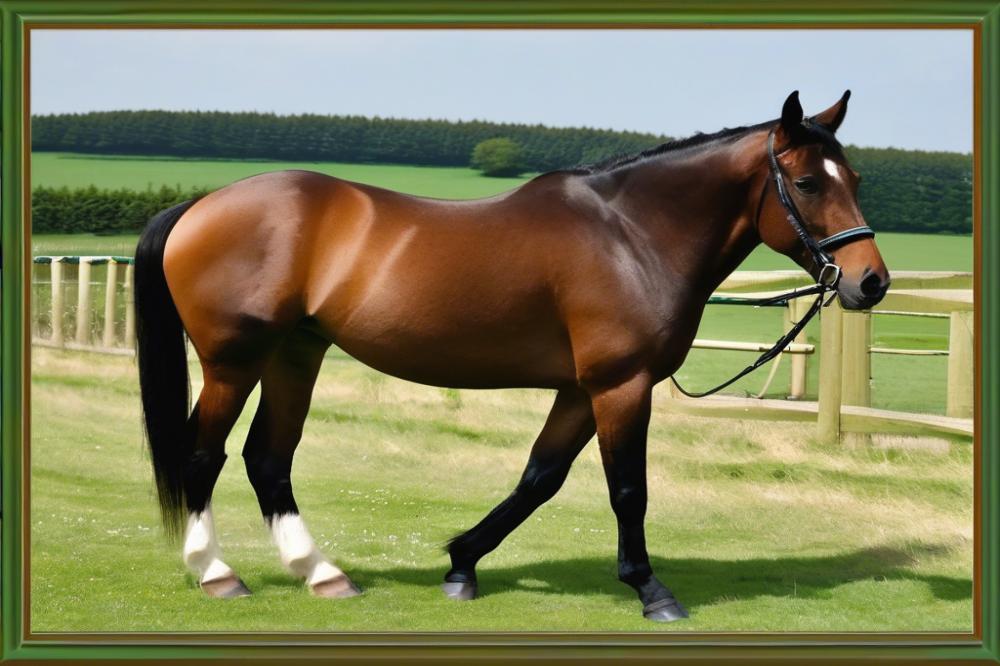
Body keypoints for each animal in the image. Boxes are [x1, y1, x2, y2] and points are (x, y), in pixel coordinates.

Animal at [134, 90, 890, 622]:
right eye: (809, 184)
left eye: (855, 176)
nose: (871, 281)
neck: (631, 234)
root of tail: (199, 206)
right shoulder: (621, 386)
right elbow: (627, 489)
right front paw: (652, 591)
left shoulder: (583, 390)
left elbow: (539, 478)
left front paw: (462, 564)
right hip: (235, 362)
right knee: (203, 455)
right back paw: (217, 574)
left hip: (296, 353)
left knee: (269, 458)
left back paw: (323, 574)